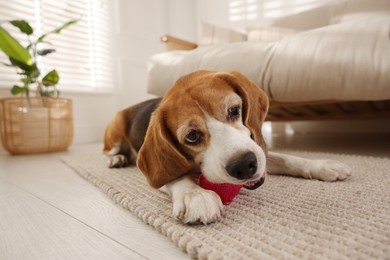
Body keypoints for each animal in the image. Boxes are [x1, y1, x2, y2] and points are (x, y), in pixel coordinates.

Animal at [103, 71, 350, 225]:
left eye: (234, 110)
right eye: (192, 136)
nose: (244, 165)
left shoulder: (257, 146)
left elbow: (286, 158)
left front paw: (321, 165)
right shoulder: (159, 173)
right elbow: (177, 176)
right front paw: (196, 196)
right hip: (113, 133)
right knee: (107, 151)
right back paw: (116, 159)